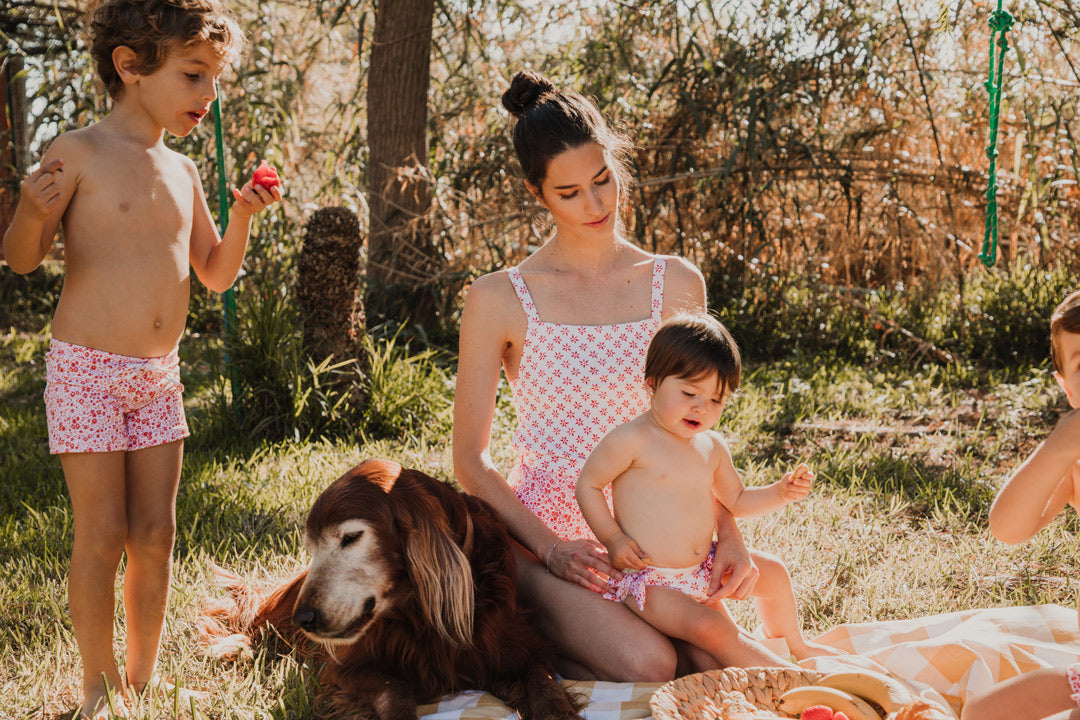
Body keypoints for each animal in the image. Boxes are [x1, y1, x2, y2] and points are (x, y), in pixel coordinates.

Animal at [198, 462, 578, 720]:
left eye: (351, 537)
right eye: (312, 547)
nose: (304, 618)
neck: (419, 609)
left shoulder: (527, 646)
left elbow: (543, 682)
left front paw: (557, 711)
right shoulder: (344, 667)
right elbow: (394, 688)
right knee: (255, 620)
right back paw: (232, 647)